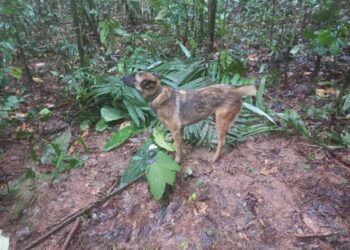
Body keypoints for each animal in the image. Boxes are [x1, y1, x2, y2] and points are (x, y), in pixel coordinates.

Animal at [123, 71, 258, 163]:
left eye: (133, 76)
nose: (121, 77)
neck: (158, 95)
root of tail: (235, 90)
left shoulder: (175, 129)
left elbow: (178, 148)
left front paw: (177, 160)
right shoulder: (180, 129)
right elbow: (179, 144)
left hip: (220, 122)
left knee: (222, 142)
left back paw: (215, 157)